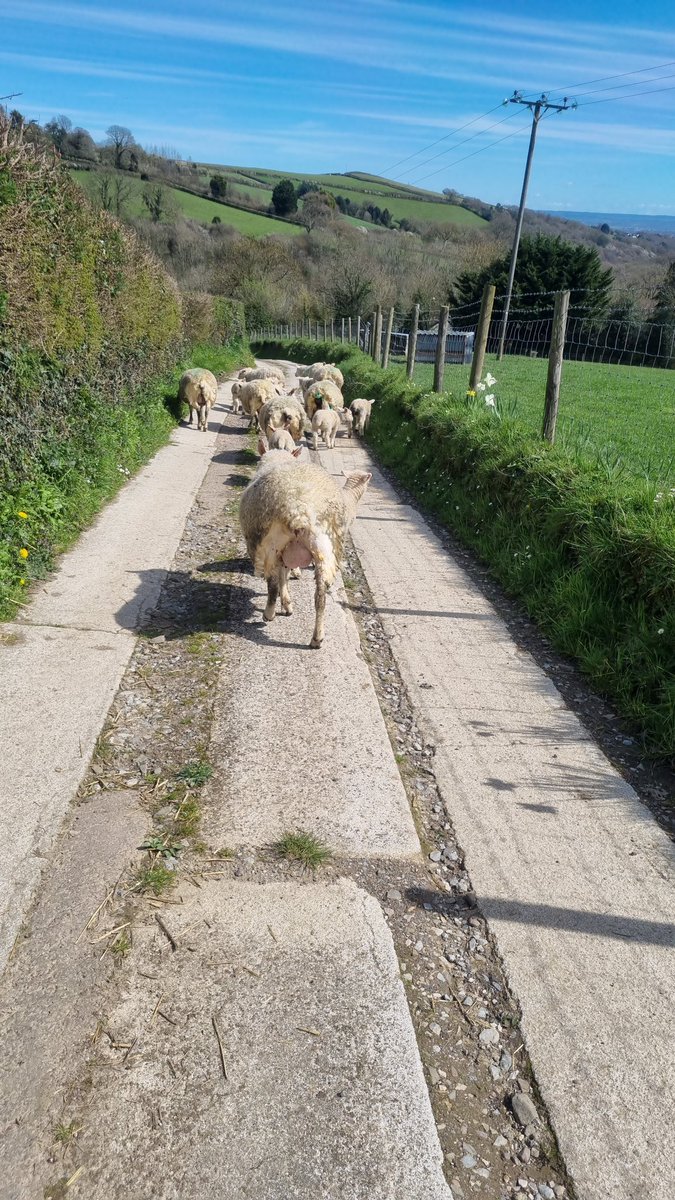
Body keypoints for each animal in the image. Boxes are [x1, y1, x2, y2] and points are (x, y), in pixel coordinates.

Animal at [239, 456, 369, 648]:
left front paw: (286, 603)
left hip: (273, 546)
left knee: (273, 585)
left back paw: (270, 614)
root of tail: (298, 509)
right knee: (320, 596)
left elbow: (282, 578)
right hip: (324, 548)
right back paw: (317, 638)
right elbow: (284, 576)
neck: (350, 498)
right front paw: (287, 603)